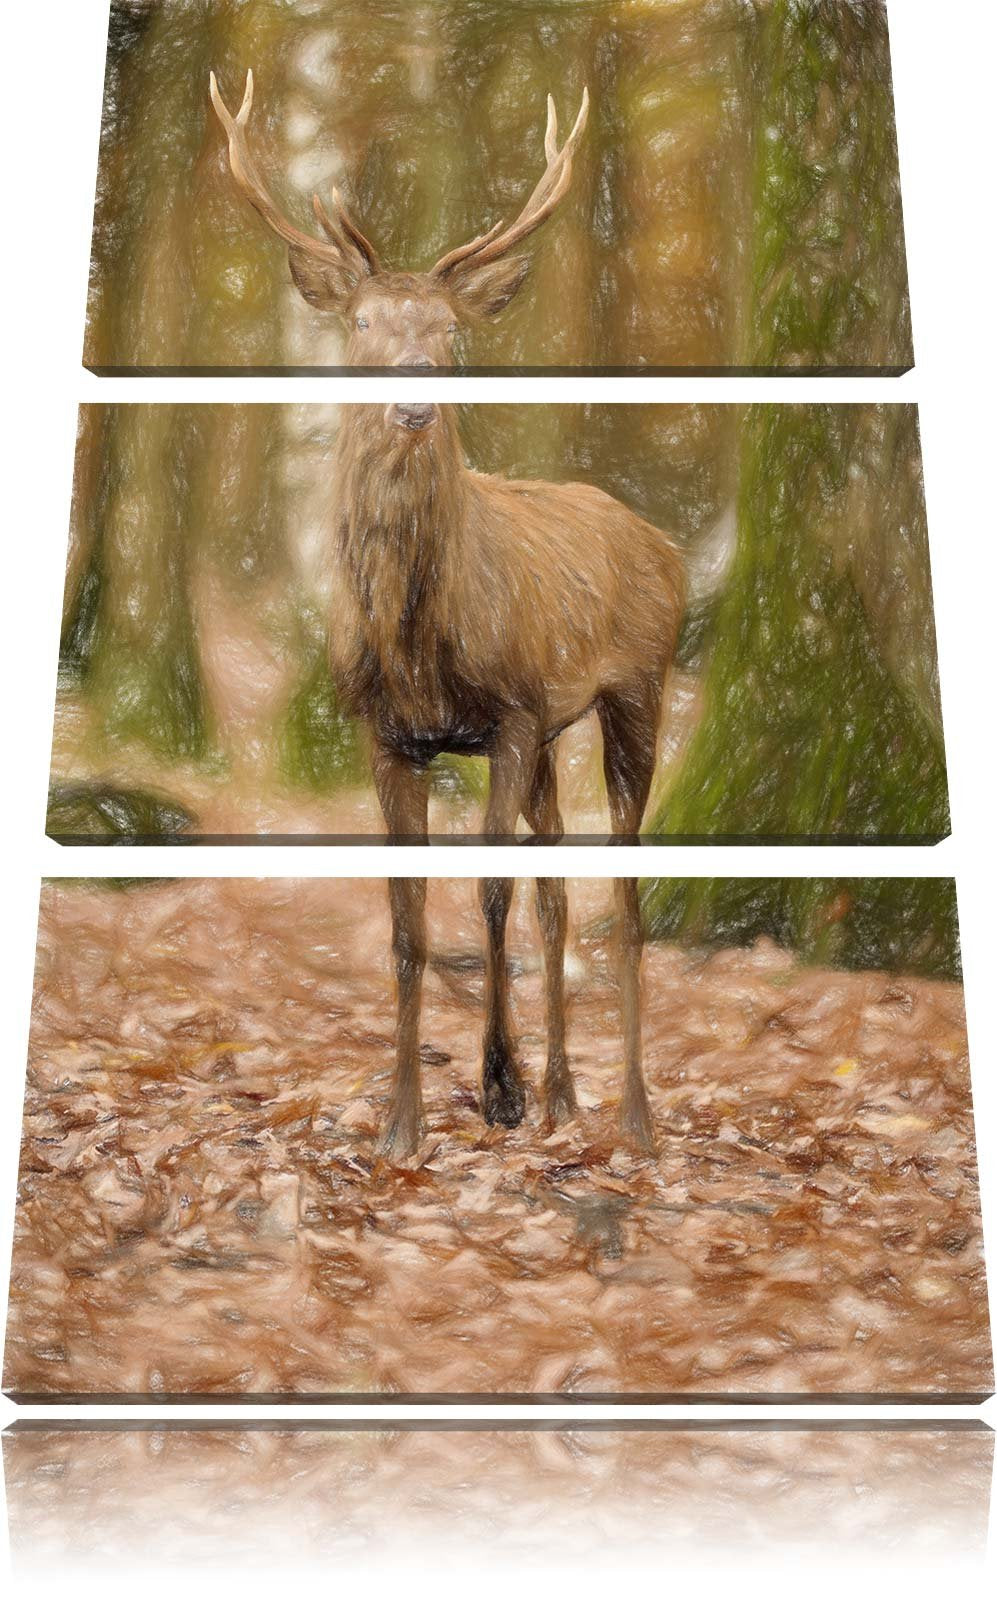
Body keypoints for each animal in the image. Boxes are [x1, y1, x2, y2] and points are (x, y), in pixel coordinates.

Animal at [210, 71, 685, 1160]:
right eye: (363, 325)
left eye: (449, 330)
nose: (416, 396)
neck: (420, 641)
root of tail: (665, 544)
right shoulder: (390, 734)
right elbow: (407, 918)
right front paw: (404, 1120)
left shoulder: (506, 715)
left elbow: (489, 892)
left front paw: (497, 1089)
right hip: (556, 730)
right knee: (561, 891)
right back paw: (566, 1098)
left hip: (637, 688)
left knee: (623, 891)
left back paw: (634, 1117)